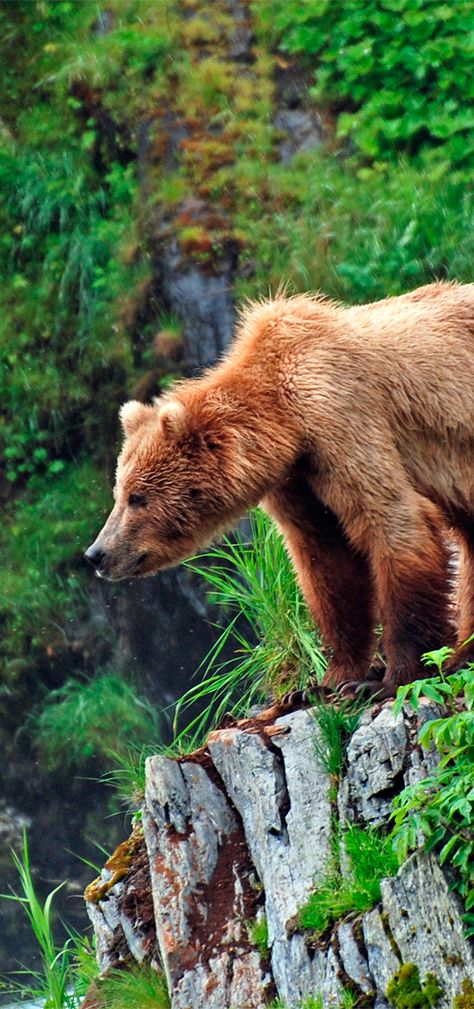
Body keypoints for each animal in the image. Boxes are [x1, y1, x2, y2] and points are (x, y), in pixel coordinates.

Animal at [85, 280, 473, 698]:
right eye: (119, 493)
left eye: (137, 498)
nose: (97, 554)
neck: (287, 423)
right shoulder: (298, 479)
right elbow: (326, 560)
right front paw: (327, 680)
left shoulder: (343, 419)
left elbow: (393, 520)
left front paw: (387, 678)